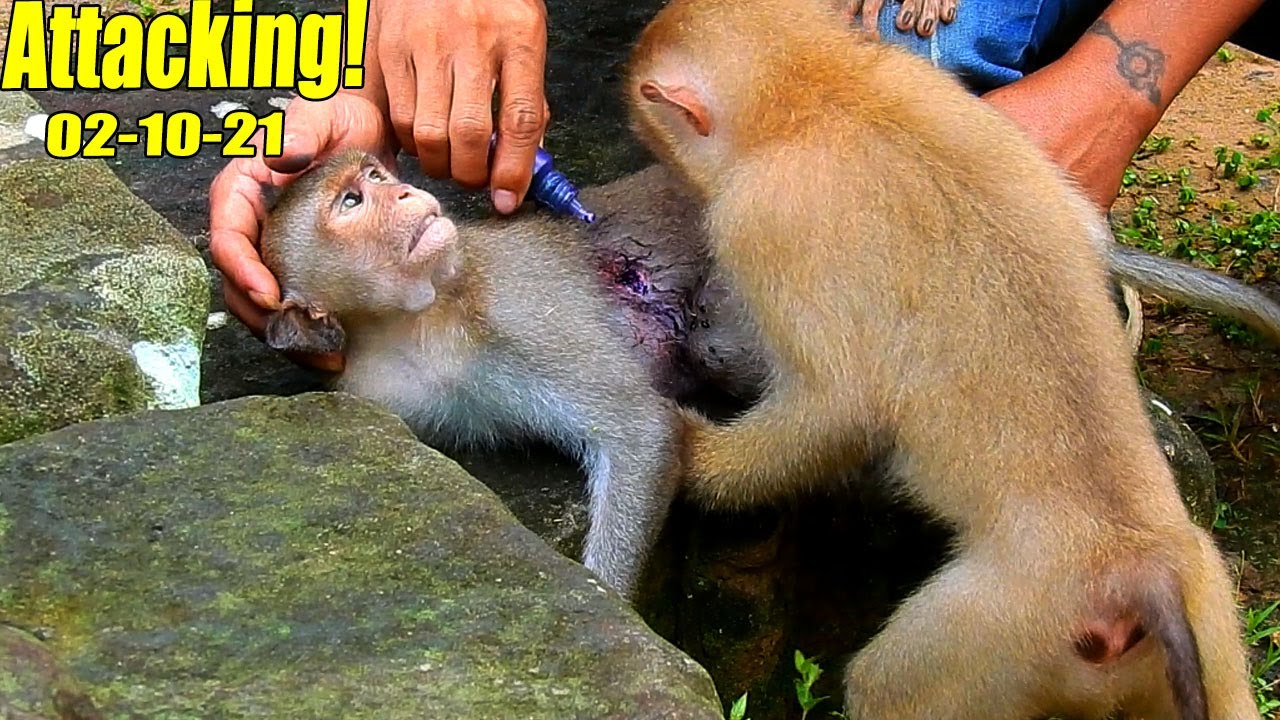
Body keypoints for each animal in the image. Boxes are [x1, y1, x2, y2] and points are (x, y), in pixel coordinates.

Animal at [255, 149, 685, 601]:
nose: (405, 191)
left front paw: (604, 595)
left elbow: (640, 429)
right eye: (352, 201)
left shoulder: (516, 305)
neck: (415, 323)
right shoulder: (369, 389)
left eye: (376, 176)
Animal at [624, 0, 1259, 718]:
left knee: (891, 687)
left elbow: (838, 407)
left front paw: (692, 452)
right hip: (1207, 602)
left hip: (1007, 631)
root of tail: (1141, 567)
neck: (825, 88)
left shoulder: (758, 219)